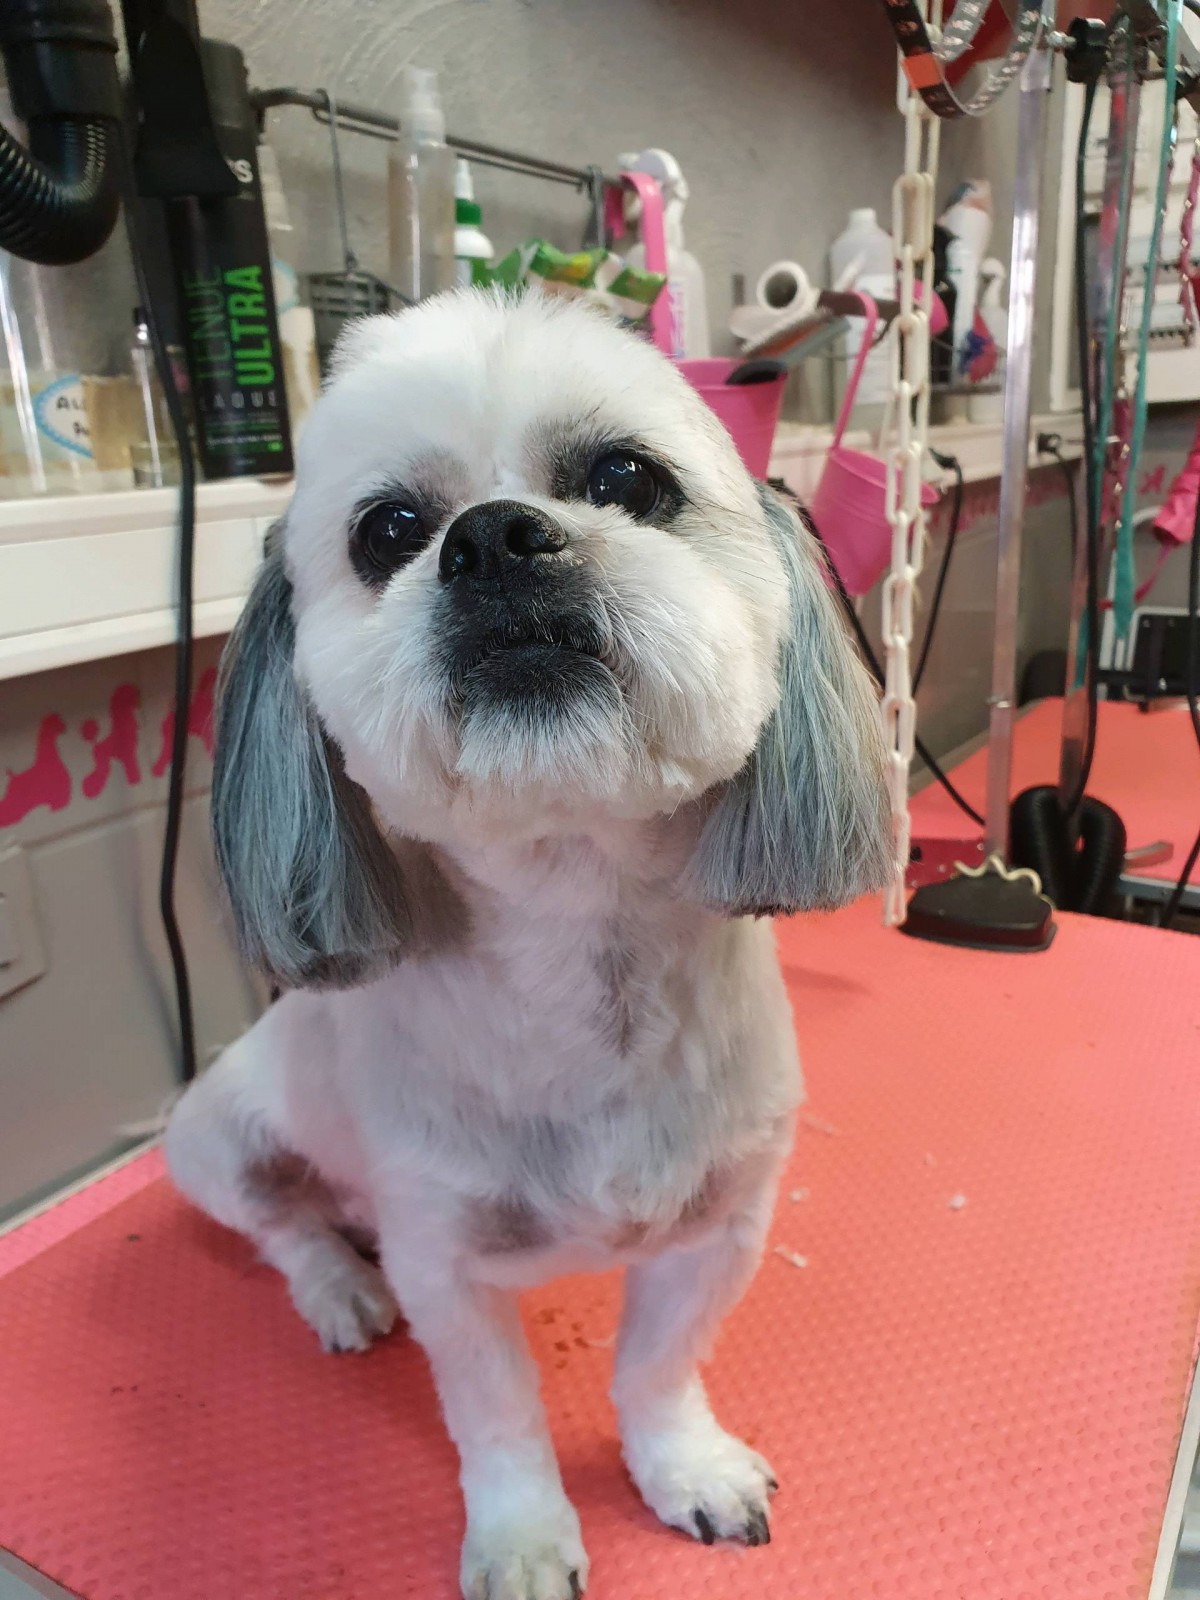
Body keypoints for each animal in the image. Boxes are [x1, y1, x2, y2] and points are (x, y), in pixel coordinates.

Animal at [164, 287, 893, 1600]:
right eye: (390, 530)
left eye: (627, 479)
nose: (497, 538)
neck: (580, 931)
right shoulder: (446, 1265)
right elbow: (495, 1416)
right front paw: (519, 1538)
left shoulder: (723, 1224)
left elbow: (655, 1368)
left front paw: (681, 1466)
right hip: (217, 1139)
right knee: (285, 1229)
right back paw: (342, 1286)